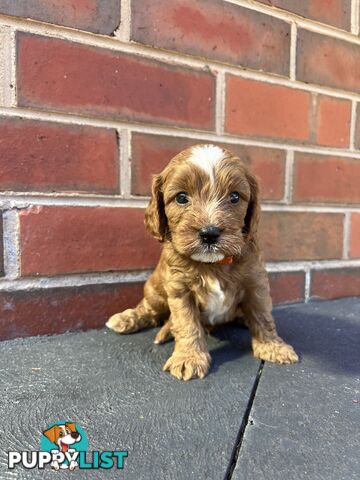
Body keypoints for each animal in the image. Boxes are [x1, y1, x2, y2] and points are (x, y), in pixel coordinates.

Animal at [107, 144, 298, 380]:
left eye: (235, 197)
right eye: (181, 198)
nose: (209, 233)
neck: (213, 265)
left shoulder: (256, 283)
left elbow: (262, 315)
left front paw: (273, 347)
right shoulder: (180, 291)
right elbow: (186, 323)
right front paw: (189, 358)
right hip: (155, 290)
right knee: (148, 309)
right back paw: (126, 319)